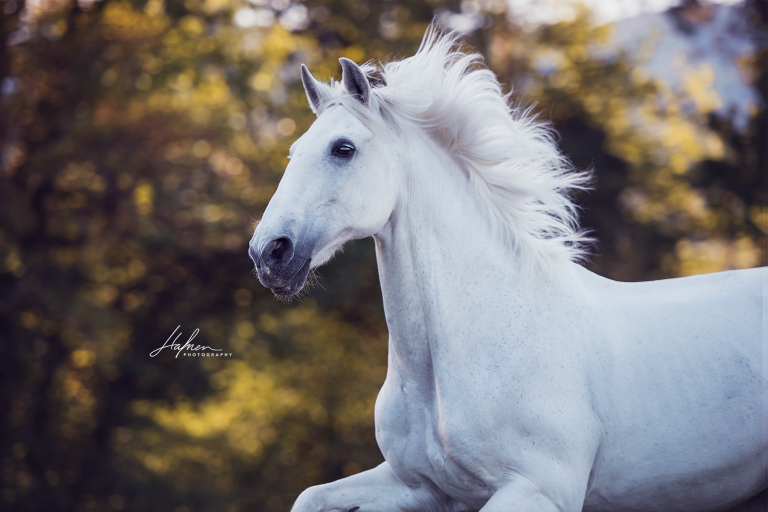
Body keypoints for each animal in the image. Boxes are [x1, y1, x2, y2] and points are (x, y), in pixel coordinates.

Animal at [248, 27, 767, 512]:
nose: (268, 253)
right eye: (293, 151)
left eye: (343, 148)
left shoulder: (538, 490)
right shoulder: (420, 486)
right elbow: (309, 496)